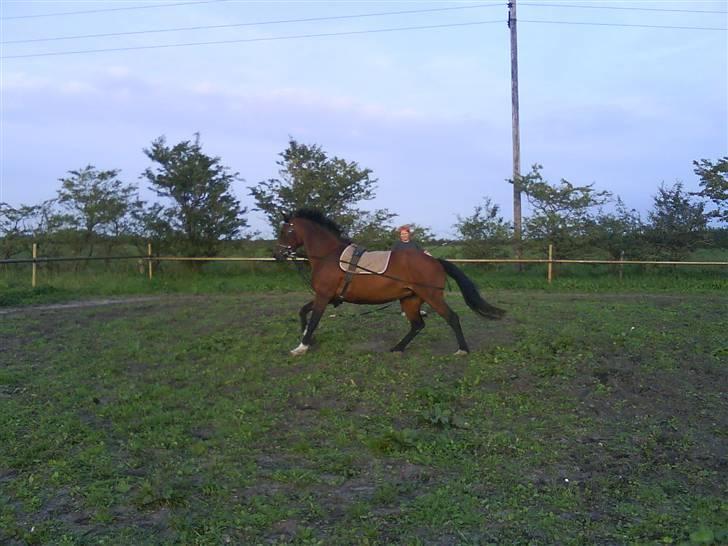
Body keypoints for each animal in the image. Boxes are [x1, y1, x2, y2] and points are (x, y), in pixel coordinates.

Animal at [276, 206, 504, 354]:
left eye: (286, 231)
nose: (276, 254)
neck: (328, 256)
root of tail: (434, 260)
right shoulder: (327, 296)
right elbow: (303, 312)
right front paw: (308, 340)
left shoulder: (324, 296)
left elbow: (314, 319)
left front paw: (302, 346)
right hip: (410, 299)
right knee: (417, 325)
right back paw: (398, 347)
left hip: (431, 296)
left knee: (452, 318)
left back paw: (462, 350)